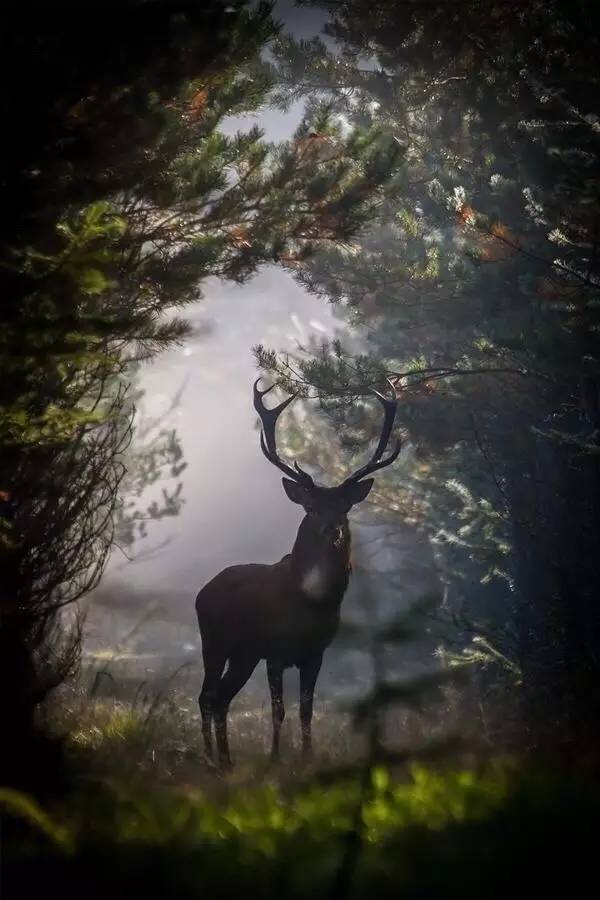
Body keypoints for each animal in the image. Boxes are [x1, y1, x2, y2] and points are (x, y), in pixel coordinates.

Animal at [197, 376, 400, 768]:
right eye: (311, 507)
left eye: (344, 507)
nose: (332, 529)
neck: (310, 601)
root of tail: (202, 592)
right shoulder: (274, 650)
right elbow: (278, 710)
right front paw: (276, 759)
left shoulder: (316, 652)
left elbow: (307, 709)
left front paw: (308, 757)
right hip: (214, 641)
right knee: (208, 696)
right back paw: (214, 760)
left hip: (242, 654)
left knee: (219, 697)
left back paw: (225, 761)